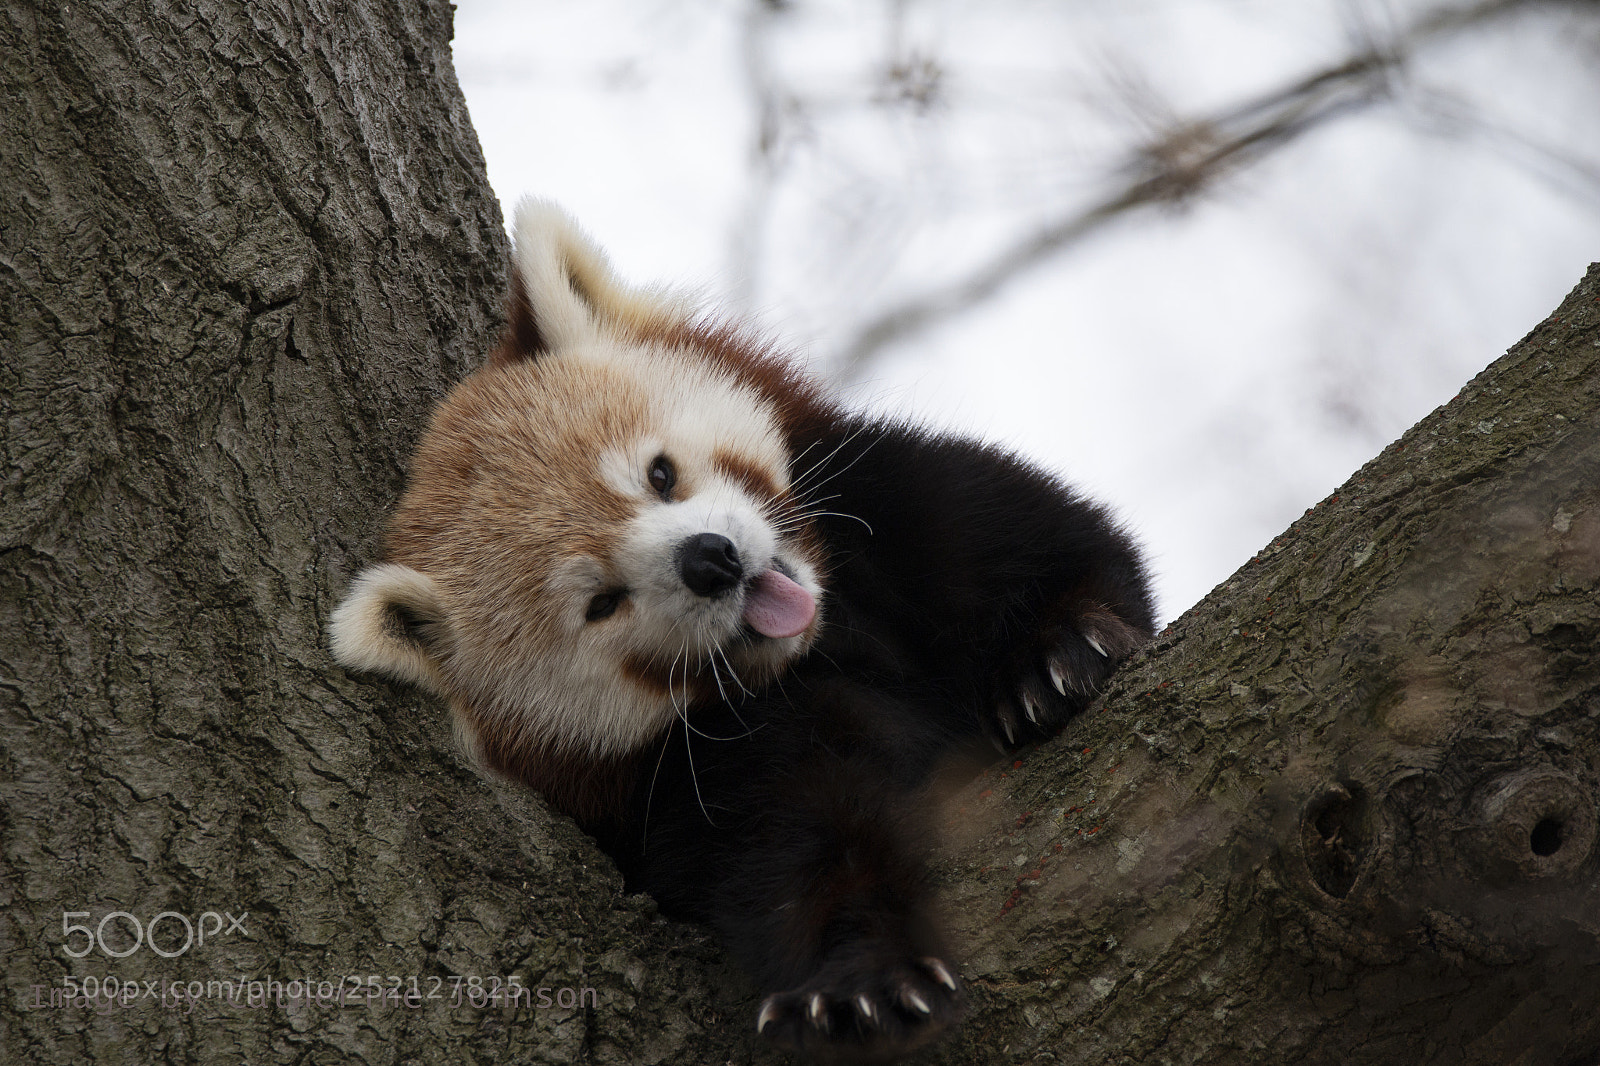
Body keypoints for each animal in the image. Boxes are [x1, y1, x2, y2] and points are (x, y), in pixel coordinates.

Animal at [330, 200, 1155, 1061]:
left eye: (659, 475)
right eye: (602, 602)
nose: (709, 560)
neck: (829, 633)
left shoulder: (898, 505)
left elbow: (1045, 541)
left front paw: (1058, 654)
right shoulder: (710, 757)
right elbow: (798, 842)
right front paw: (859, 977)